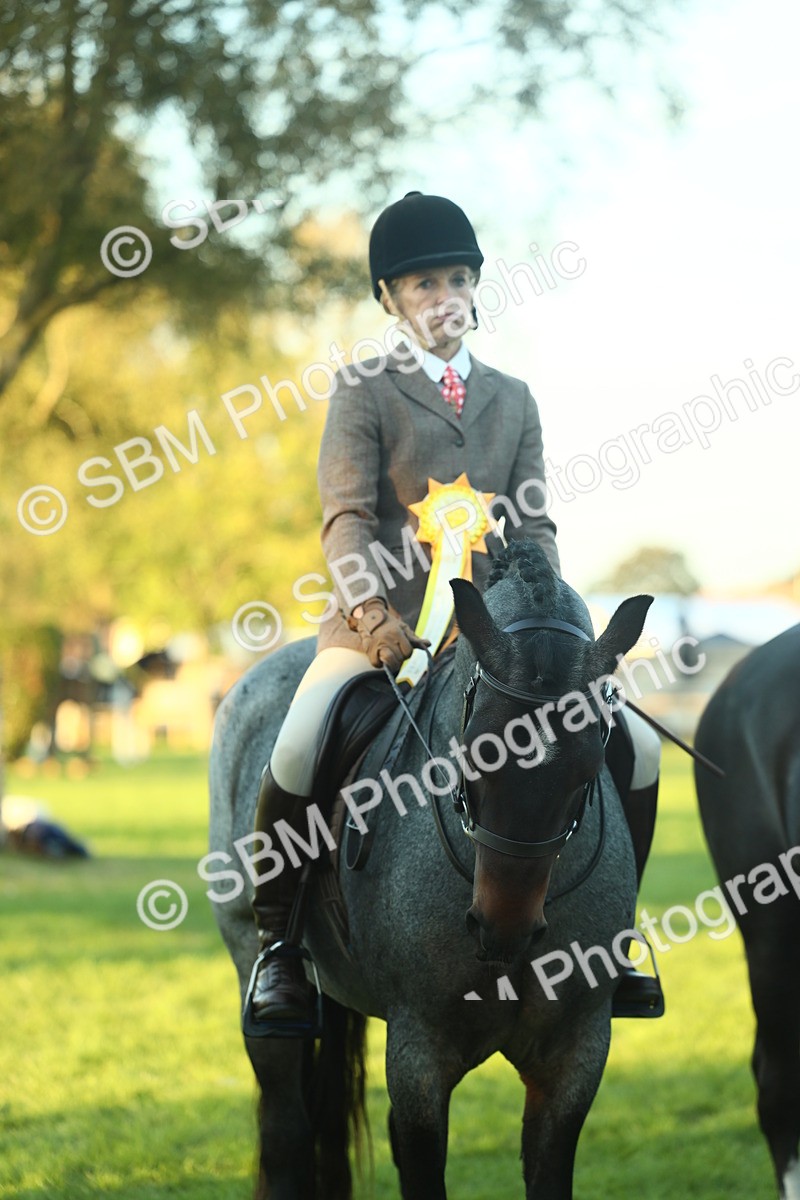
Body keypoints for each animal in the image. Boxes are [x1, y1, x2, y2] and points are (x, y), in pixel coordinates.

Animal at [209, 540, 653, 1198]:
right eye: (476, 751)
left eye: (591, 761)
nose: (502, 929)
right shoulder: (418, 1051)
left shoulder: (575, 1053)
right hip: (251, 961)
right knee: (286, 1124)